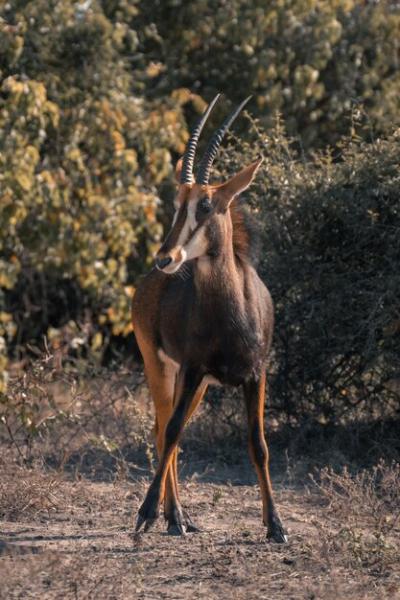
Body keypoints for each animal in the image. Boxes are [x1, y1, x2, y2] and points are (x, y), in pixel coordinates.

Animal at [133, 94, 286, 544]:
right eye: (175, 204)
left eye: (205, 204)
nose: (165, 257)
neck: (232, 312)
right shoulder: (192, 368)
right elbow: (170, 433)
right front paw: (145, 515)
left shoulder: (256, 374)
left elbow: (258, 444)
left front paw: (276, 525)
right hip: (163, 367)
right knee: (164, 428)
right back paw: (173, 517)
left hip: (195, 382)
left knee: (172, 430)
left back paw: (180, 517)